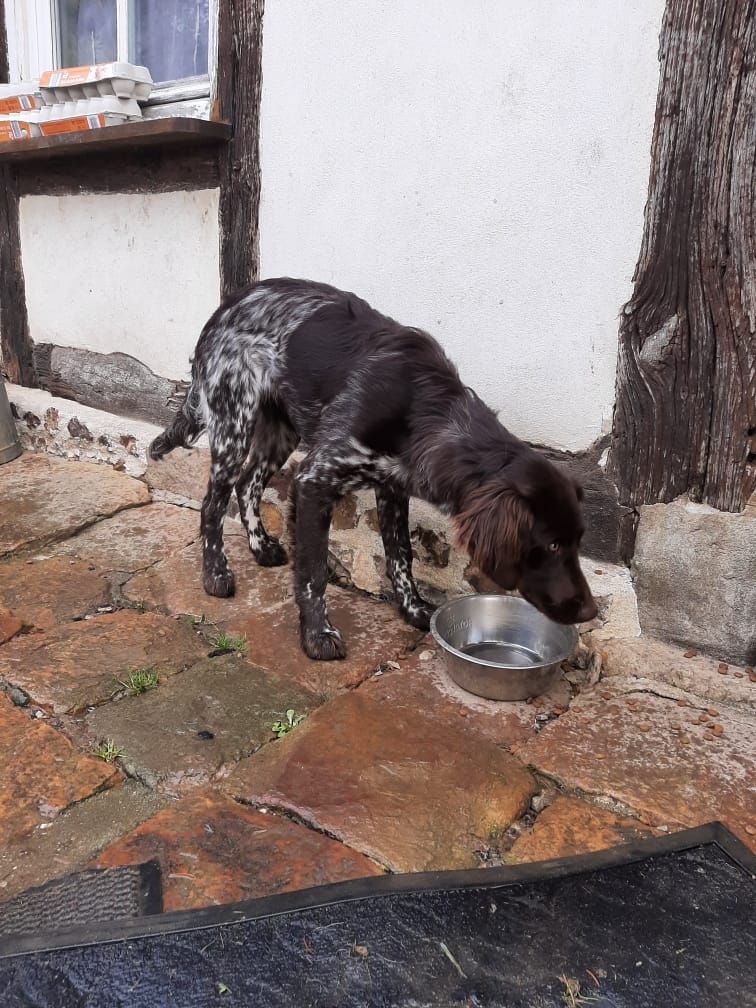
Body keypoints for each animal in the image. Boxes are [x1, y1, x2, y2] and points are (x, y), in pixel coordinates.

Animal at [149, 280, 596, 661]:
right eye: (551, 545)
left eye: (578, 541)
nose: (590, 611)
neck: (426, 412)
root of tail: (226, 305)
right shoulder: (314, 481)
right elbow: (313, 572)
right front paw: (317, 636)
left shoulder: (393, 487)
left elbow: (401, 555)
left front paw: (413, 609)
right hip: (234, 425)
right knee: (213, 503)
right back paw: (215, 573)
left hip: (281, 432)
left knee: (248, 484)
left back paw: (260, 547)